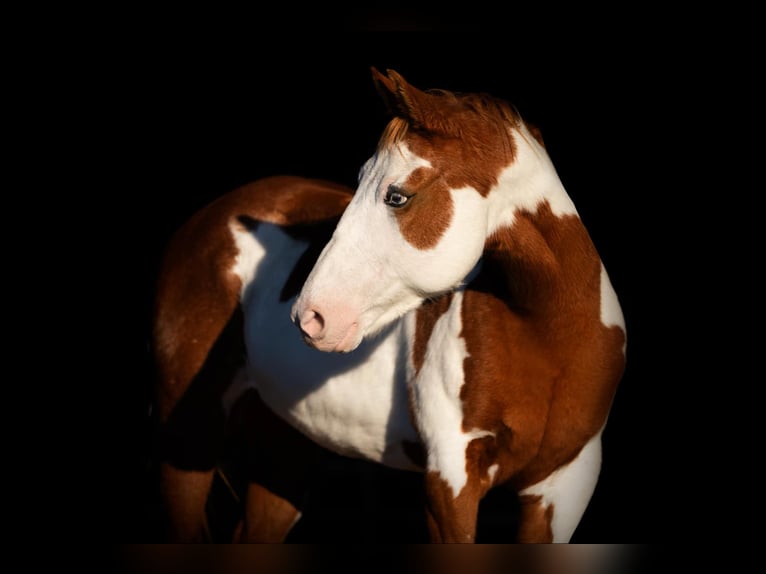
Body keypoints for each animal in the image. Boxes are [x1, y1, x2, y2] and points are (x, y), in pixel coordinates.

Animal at [152, 67, 632, 544]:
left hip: (285, 450)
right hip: (189, 441)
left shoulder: (561, 489)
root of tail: (208, 220)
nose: (309, 317)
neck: (547, 340)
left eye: (396, 196)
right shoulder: (449, 483)